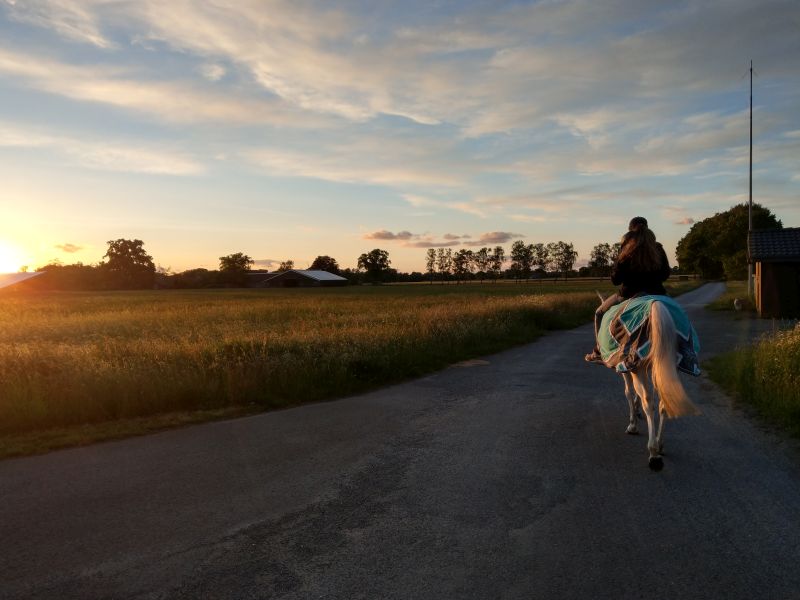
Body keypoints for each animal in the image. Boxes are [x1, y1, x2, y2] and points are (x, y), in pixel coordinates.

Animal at [595, 294, 701, 471]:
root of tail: (657, 305)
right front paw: (637, 413)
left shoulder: (629, 367)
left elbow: (629, 392)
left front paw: (633, 424)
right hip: (668, 364)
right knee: (663, 402)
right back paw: (660, 444)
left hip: (638, 365)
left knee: (649, 403)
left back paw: (653, 454)